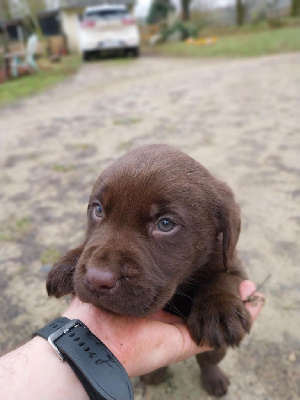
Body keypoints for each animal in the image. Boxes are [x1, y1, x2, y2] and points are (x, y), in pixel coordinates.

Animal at [47, 144, 252, 396]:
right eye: (98, 210)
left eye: (165, 224)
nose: (97, 280)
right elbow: (88, 245)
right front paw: (68, 263)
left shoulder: (232, 263)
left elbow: (223, 278)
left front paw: (218, 310)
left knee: (208, 359)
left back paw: (214, 379)